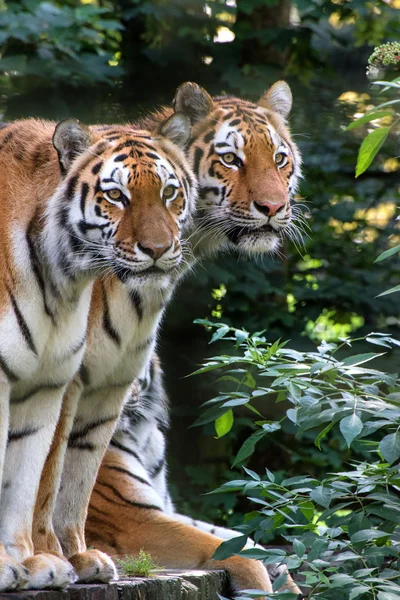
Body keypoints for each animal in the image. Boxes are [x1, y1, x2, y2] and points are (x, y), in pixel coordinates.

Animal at [0, 112, 197, 592]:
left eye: (169, 192)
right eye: (115, 196)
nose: (159, 250)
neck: (62, 278)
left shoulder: (51, 385)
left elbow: (46, 483)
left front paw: (45, 562)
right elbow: (48, 478)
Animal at [69, 79, 302, 596]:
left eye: (279, 159)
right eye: (231, 159)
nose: (274, 208)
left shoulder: (164, 504)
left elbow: (251, 540)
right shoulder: (133, 518)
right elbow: (237, 552)